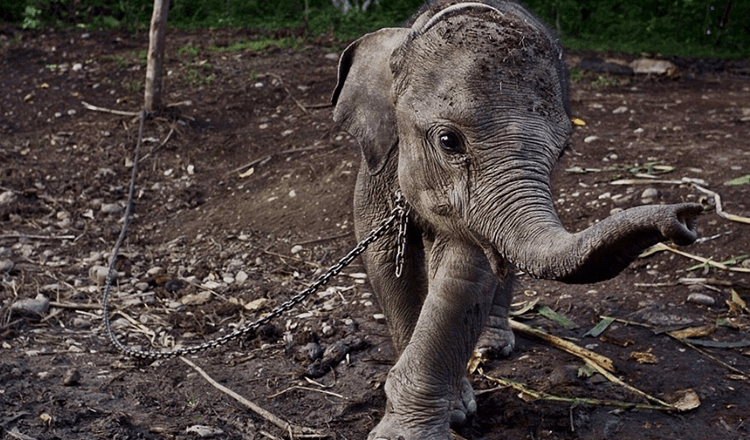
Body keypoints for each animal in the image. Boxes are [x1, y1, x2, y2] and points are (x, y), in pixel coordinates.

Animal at [332, 1, 704, 438]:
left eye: (563, 151)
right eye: (448, 141)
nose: (686, 216)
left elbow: (464, 274)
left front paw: (431, 420)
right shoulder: (377, 164)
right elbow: (387, 260)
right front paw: (443, 411)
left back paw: (491, 344)